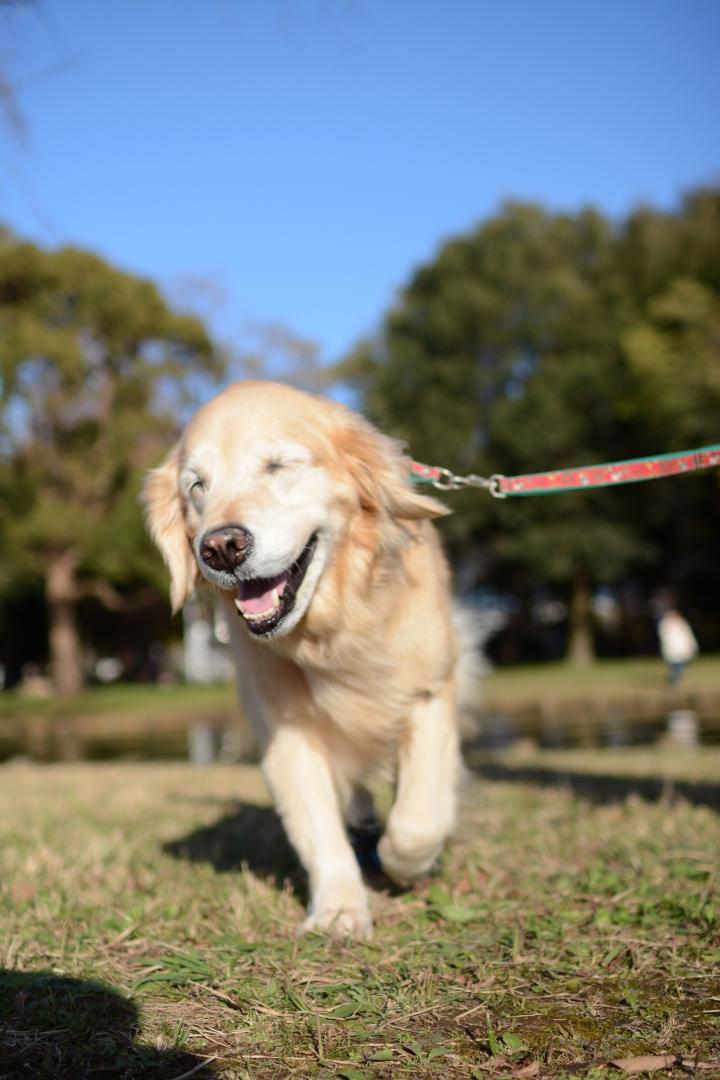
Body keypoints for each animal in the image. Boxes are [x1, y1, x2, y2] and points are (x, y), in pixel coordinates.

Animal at [142, 382, 468, 937]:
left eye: (279, 465)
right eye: (197, 486)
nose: (221, 547)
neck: (334, 629)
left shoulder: (429, 690)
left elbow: (415, 823)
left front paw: (409, 865)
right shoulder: (286, 729)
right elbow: (318, 827)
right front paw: (339, 909)